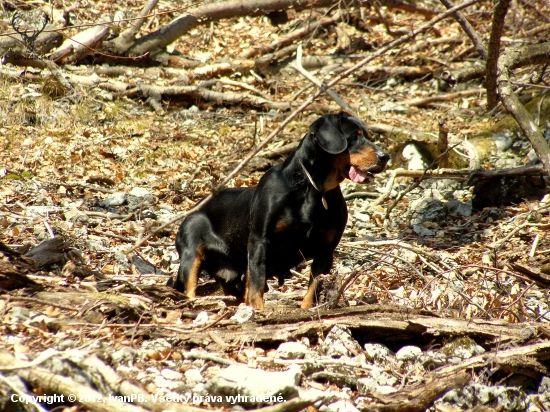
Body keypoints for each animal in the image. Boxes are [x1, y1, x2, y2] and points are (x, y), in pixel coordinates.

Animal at [175, 112, 390, 308]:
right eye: (354, 136)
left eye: (367, 135)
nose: (385, 157)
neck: (313, 189)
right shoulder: (260, 242)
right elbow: (257, 286)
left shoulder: (325, 251)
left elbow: (312, 290)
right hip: (191, 256)